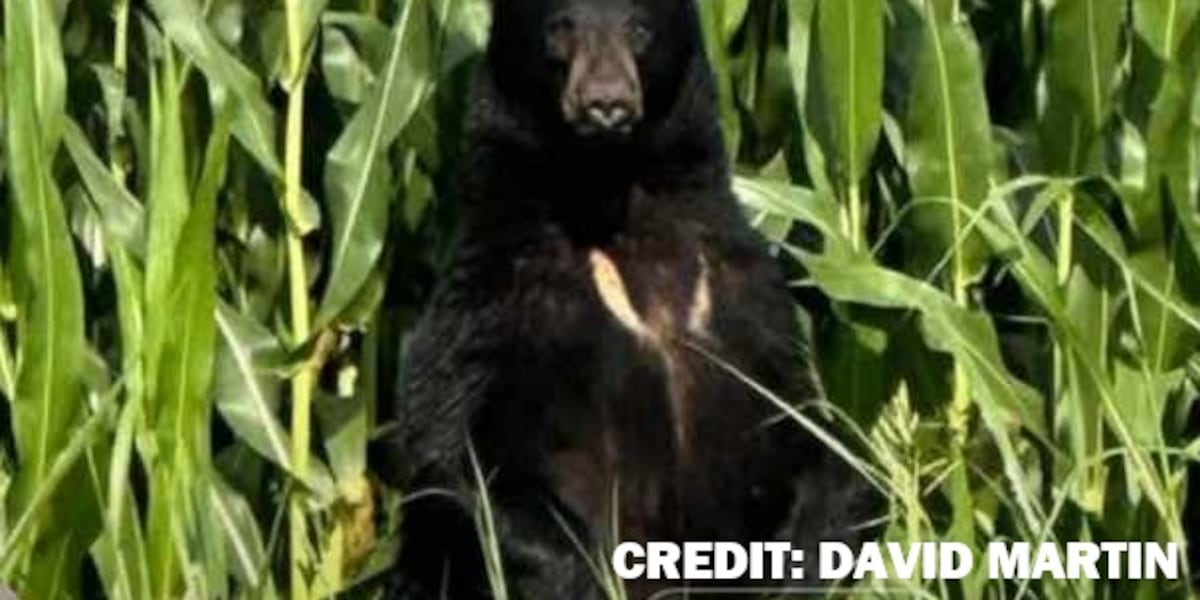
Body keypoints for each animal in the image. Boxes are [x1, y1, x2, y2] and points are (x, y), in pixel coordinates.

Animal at [385, 0, 877, 597]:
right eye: (559, 28)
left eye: (639, 29)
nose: (605, 103)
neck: (615, 204)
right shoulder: (497, 293)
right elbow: (455, 447)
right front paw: (588, 573)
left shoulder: (745, 293)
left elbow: (813, 438)